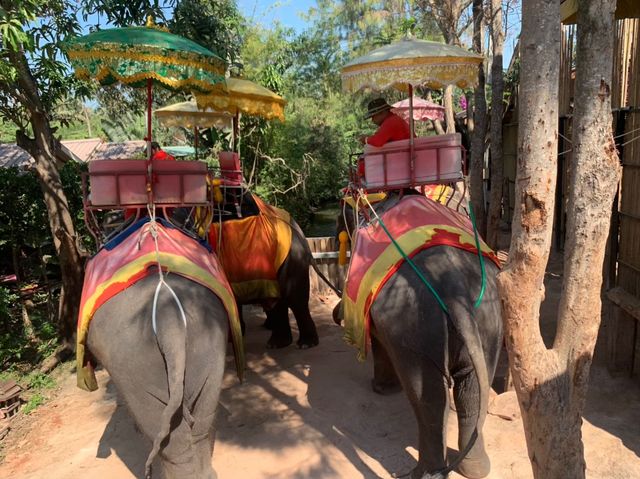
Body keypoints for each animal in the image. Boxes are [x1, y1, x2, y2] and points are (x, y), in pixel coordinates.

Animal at [336, 195, 504, 479]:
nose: (337, 314)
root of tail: (453, 287)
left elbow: (380, 346)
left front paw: (380, 389)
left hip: (410, 325)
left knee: (428, 399)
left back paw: (423, 473)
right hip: (488, 320)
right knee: (471, 390)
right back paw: (476, 469)